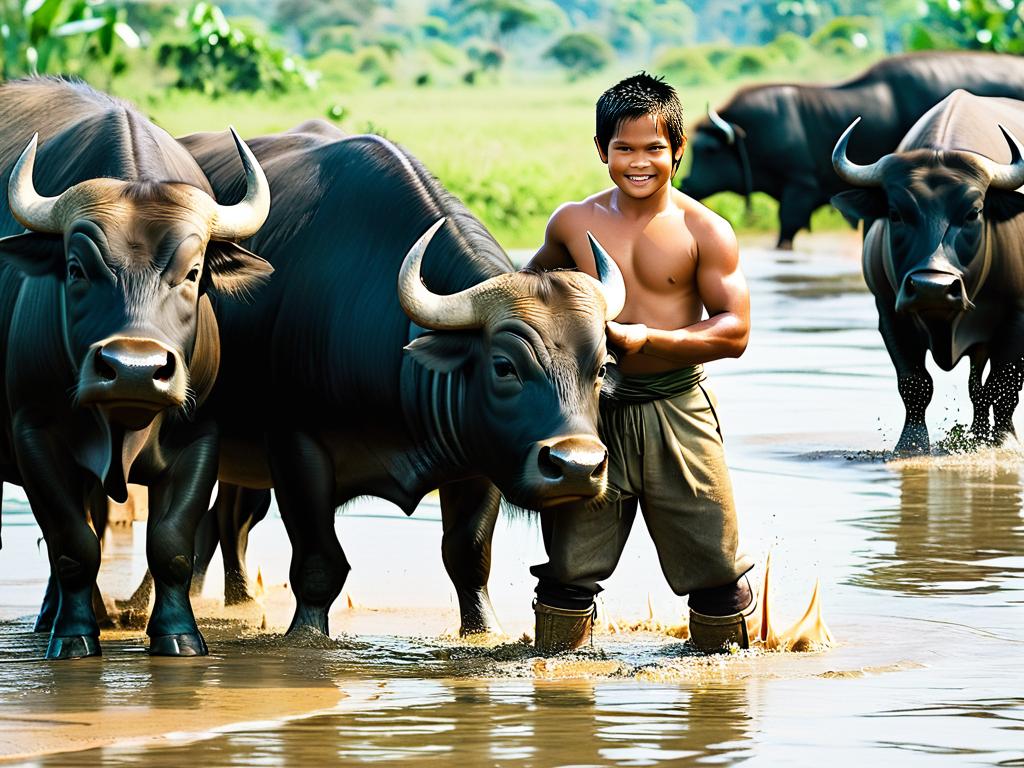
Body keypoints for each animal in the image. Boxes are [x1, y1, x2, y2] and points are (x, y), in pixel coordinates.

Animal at [0, 78, 272, 659]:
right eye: (76, 268)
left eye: (193, 272)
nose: (133, 368)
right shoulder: (33, 430)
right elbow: (72, 543)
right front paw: (74, 636)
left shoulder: (202, 435)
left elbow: (171, 542)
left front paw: (179, 635)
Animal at [827, 90, 1024, 454]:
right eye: (895, 213)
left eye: (974, 212)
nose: (932, 287)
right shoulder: (889, 311)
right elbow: (915, 383)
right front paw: (911, 443)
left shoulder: (1018, 314)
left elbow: (1003, 384)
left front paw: (1003, 442)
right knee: (975, 386)